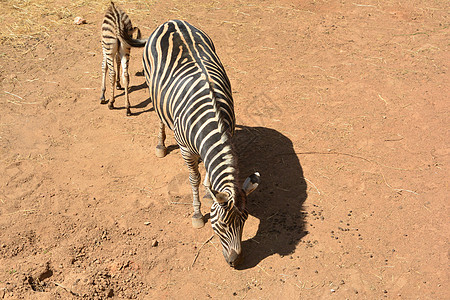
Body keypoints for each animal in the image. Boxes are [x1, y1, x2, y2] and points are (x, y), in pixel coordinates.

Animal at [119, 19, 260, 266]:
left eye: (244, 221)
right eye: (221, 224)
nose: (236, 261)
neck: (212, 120)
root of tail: (171, 20)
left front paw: (209, 190)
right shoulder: (186, 149)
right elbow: (193, 179)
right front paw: (196, 214)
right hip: (152, 86)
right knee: (159, 116)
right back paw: (161, 145)